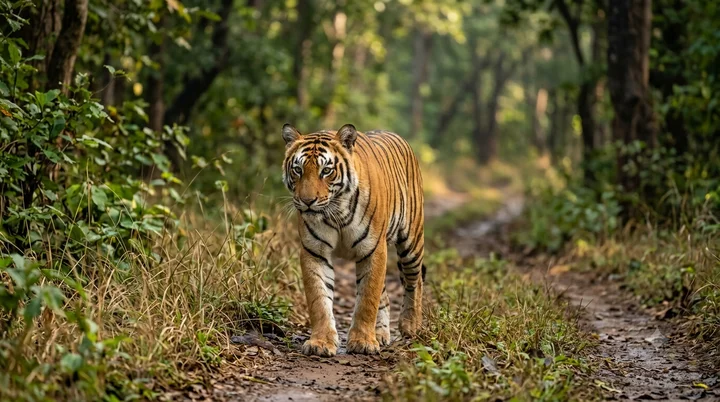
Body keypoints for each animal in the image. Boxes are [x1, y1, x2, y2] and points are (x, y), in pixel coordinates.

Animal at [282, 123, 425, 357]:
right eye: (298, 170)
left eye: (326, 170)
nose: (307, 201)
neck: (336, 211)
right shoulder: (314, 251)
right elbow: (319, 300)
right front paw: (321, 342)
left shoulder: (373, 249)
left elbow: (367, 299)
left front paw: (363, 342)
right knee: (386, 295)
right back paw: (381, 334)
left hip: (412, 242)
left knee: (415, 281)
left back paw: (410, 326)